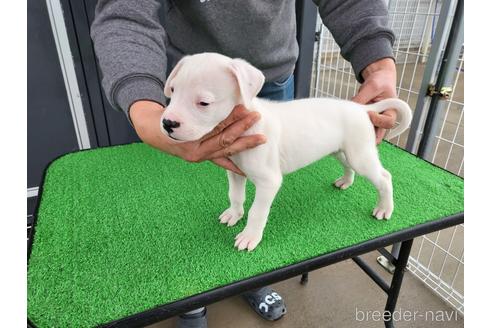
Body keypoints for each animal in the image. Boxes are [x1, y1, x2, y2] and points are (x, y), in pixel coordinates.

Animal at [161, 52, 412, 251]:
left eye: (204, 103)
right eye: (173, 90)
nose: (167, 123)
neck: (250, 124)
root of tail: (361, 108)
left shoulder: (269, 182)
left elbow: (257, 211)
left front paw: (250, 237)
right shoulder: (235, 171)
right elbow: (235, 195)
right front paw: (234, 214)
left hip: (361, 155)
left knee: (384, 177)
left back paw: (384, 208)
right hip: (341, 150)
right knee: (348, 166)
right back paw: (346, 181)